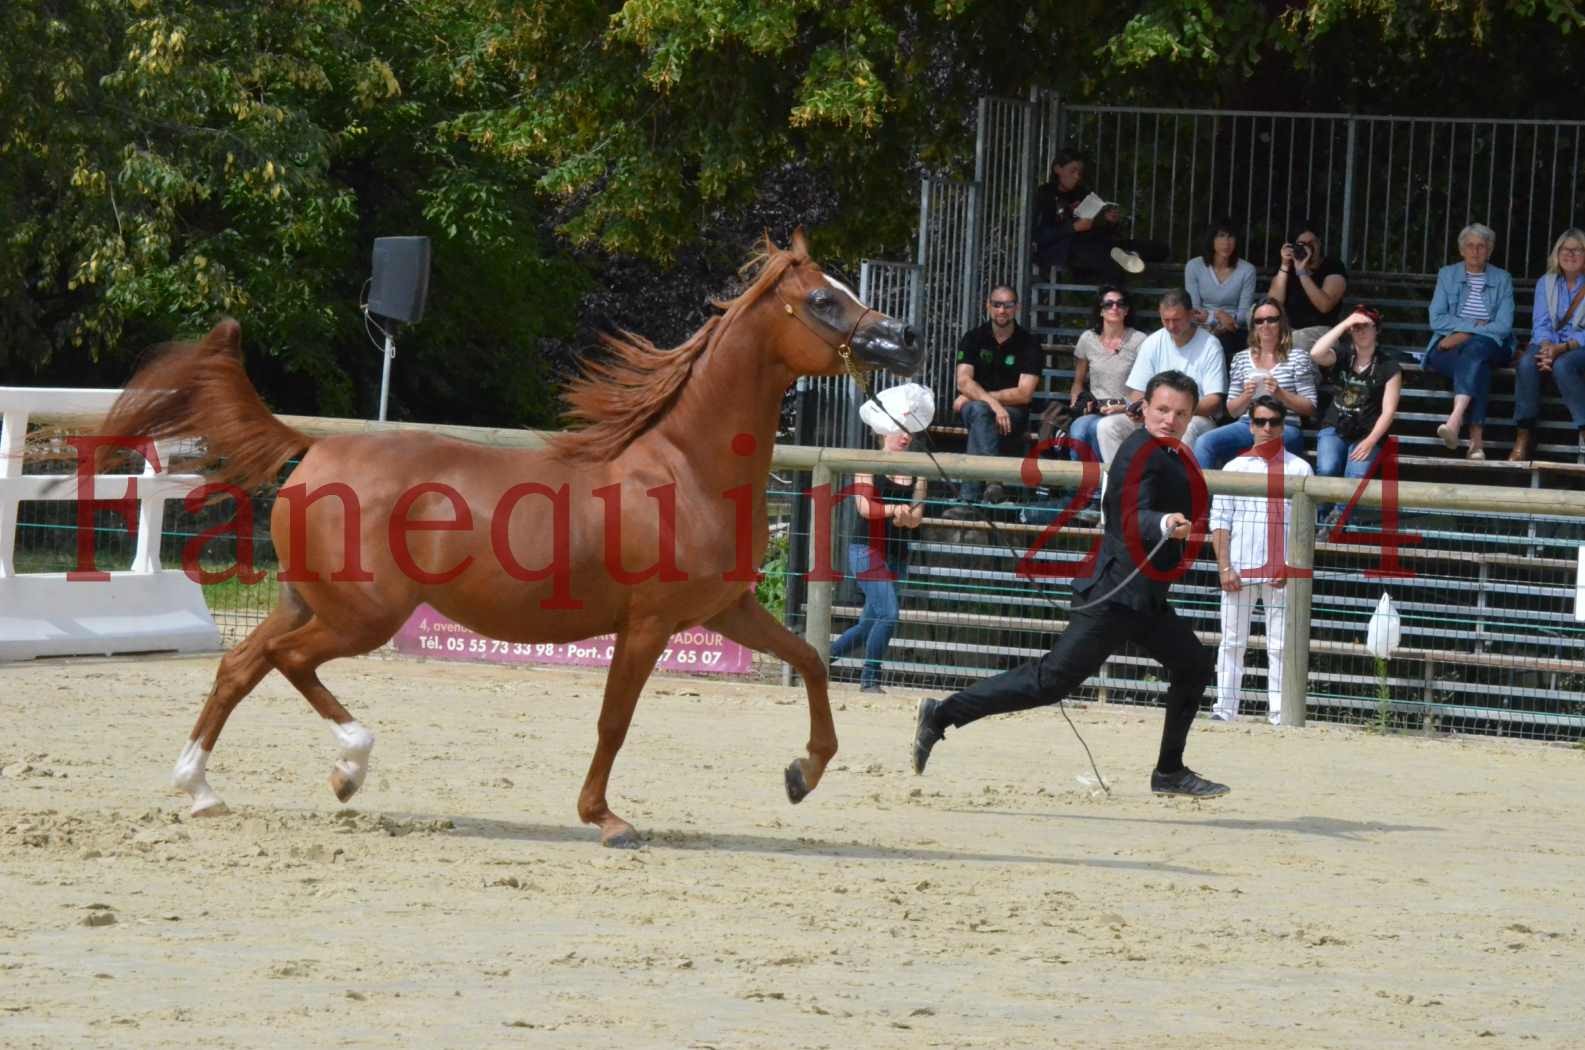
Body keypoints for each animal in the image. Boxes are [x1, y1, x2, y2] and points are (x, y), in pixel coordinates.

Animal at [102, 229, 919, 850]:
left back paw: (199, 789)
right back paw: (347, 769)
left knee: (241, 665)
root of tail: (316, 448)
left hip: (312, 601)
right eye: (823, 299)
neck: (685, 469)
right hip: (363, 616)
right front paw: (606, 820)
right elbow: (615, 721)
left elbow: (809, 660)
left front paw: (802, 775)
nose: (904, 338)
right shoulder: (650, 623)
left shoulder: (726, 610)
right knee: (283, 662)